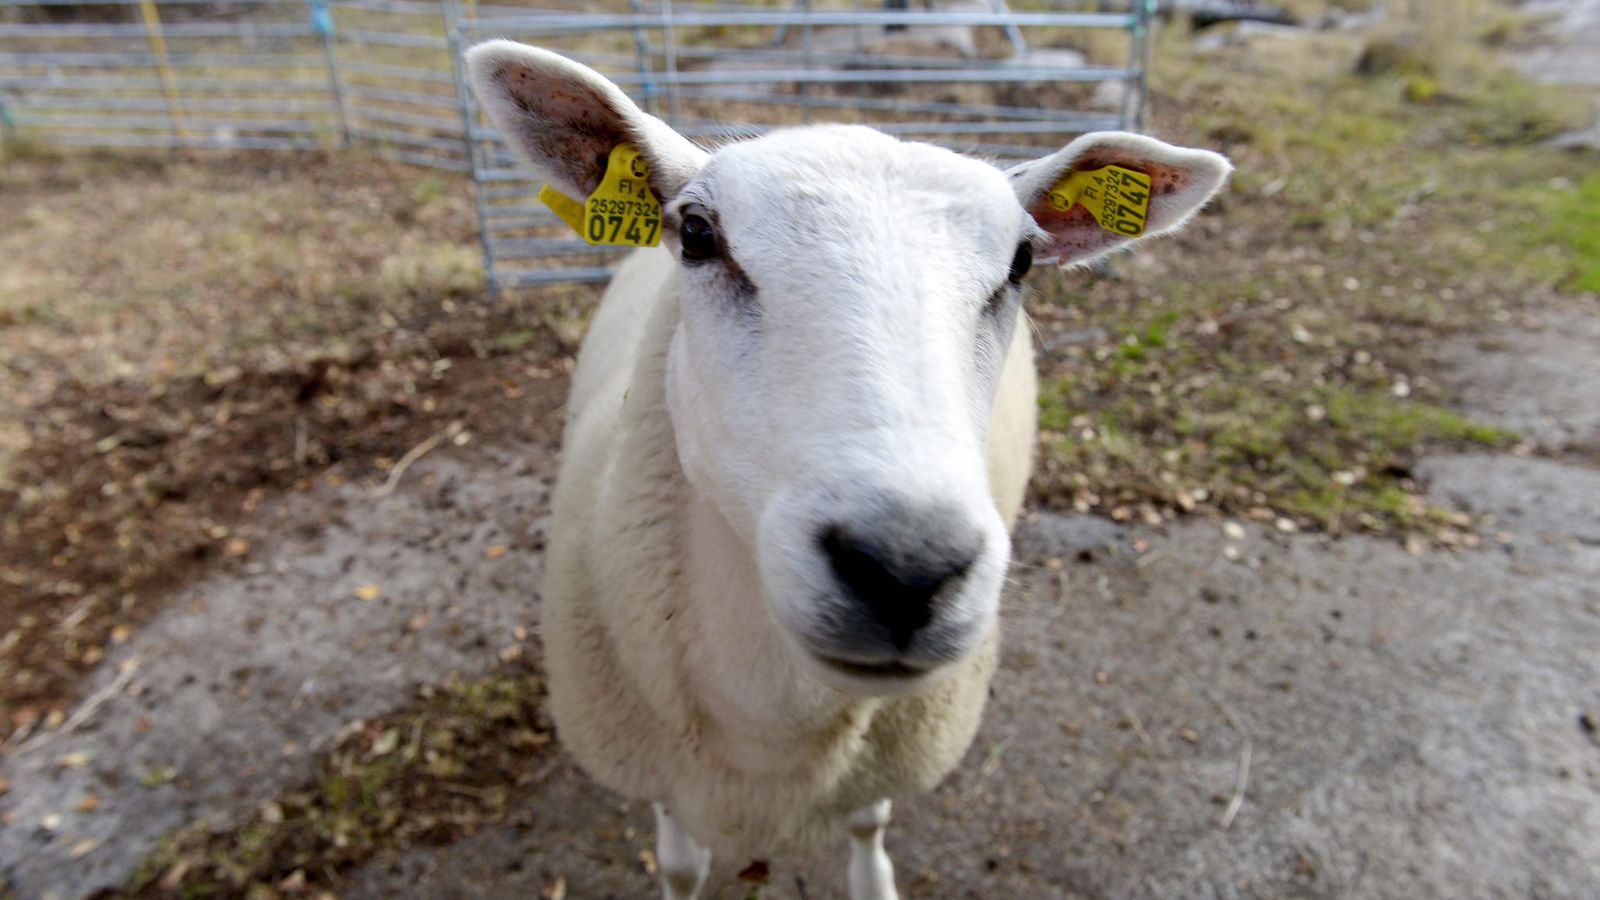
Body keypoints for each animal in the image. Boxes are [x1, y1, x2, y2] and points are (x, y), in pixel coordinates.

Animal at [467, 40, 1228, 896]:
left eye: (1023, 262)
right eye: (695, 233)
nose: (906, 566)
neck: (770, 738)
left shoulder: (883, 760)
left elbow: (867, 823)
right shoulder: (655, 768)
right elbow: (681, 864)